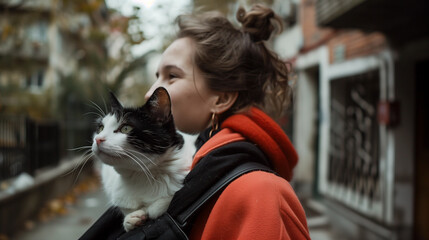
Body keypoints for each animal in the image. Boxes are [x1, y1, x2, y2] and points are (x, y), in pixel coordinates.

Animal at [93, 87, 195, 232]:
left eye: (126, 128)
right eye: (101, 128)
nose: (98, 139)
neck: (141, 175)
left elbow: (166, 199)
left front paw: (151, 208)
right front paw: (131, 219)